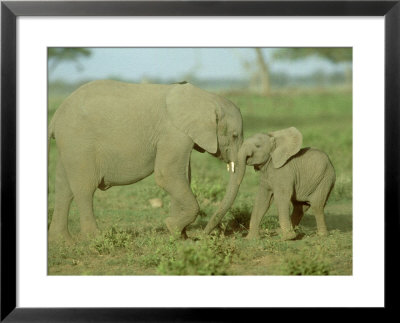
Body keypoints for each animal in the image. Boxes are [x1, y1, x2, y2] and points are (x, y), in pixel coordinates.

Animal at [48, 81, 245, 242]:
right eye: (234, 136)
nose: (205, 236)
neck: (206, 97)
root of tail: (55, 117)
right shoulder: (173, 133)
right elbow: (167, 175)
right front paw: (172, 226)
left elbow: (182, 177)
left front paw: (181, 237)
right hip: (79, 143)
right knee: (84, 188)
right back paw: (95, 239)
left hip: (69, 146)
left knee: (63, 188)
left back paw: (62, 241)